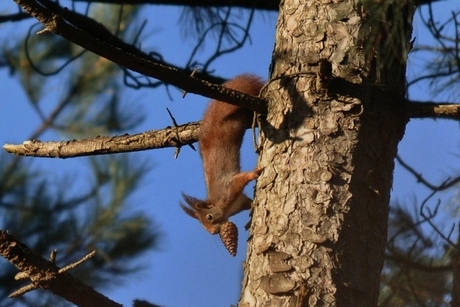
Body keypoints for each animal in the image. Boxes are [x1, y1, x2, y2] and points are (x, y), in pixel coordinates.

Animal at [181, 74, 264, 236]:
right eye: (203, 226)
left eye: (209, 217)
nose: (214, 232)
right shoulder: (240, 201)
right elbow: (249, 202)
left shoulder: (229, 188)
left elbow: (241, 178)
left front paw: (254, 173)